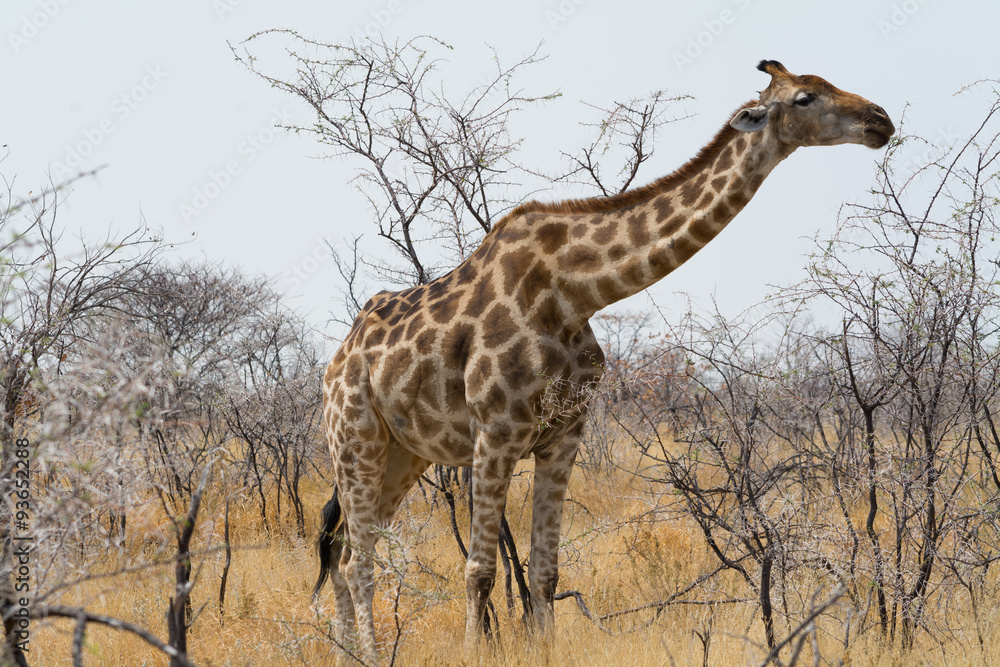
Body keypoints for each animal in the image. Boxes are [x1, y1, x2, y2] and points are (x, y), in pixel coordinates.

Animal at [315, 60, 894, 660]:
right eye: (805, 98)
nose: (881, 121)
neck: (575, 292)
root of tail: (334, 366)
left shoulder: (565, 434)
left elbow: (544, 571)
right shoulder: (495, 434)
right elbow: (480, 570)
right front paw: (476, 653)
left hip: (403, 455)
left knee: (342, 552)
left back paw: (346, 653)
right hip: (355, 439)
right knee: (357, 561)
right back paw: (369, 656)